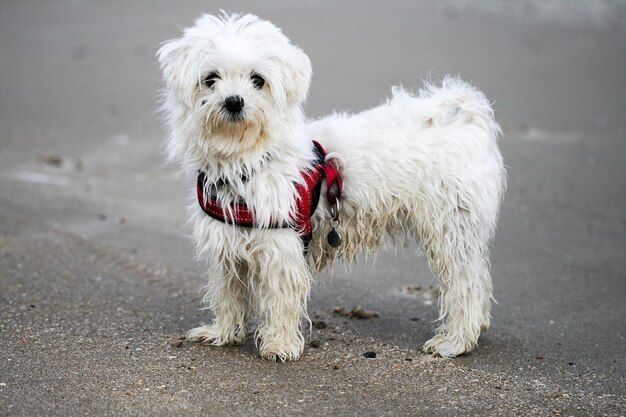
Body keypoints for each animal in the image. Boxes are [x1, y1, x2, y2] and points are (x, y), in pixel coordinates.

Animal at [158, 12, 504, 358]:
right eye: (210, 79)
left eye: (258, 80)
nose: (233, 101)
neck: (247, 161)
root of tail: (467, 120)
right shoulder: (226, 246)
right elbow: (228, 294)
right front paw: (223, 333)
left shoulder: (281, 248)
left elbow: (281, 300)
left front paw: (279, 344)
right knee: (480, 277)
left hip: (450, 228)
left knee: (467, 285)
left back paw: (455, 341)